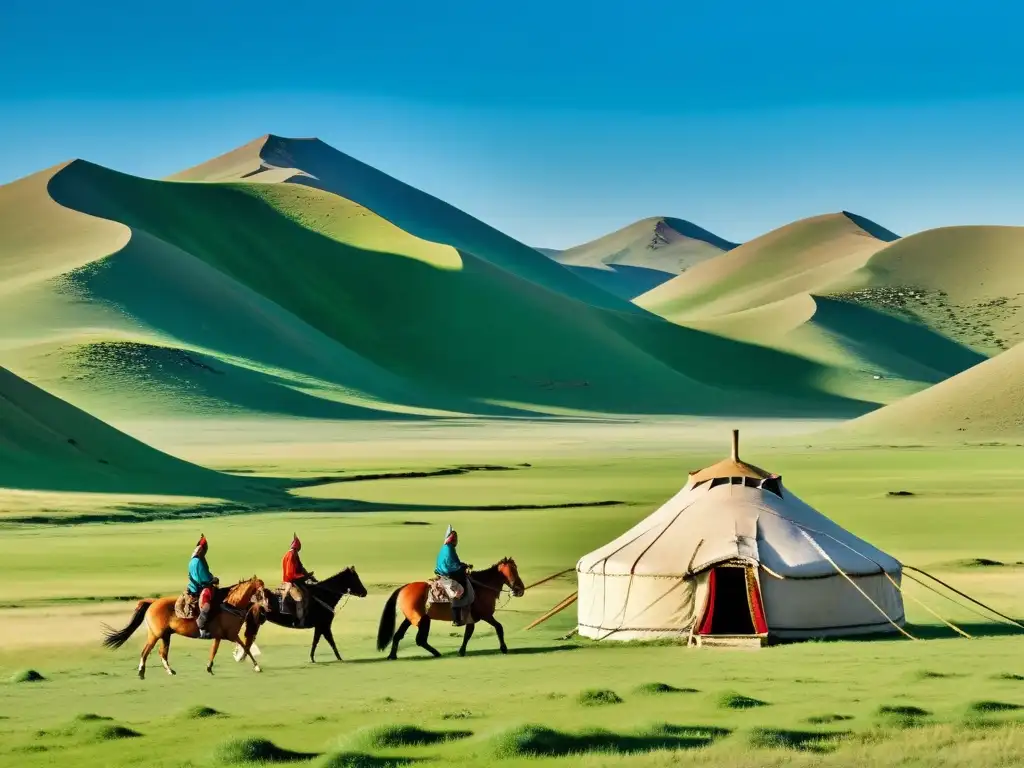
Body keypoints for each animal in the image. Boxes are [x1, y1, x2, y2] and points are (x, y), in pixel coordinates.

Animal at [99, 577, 266, 679]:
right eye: (260, 591)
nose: (266, 607)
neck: (231, 605)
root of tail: (153, 602)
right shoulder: (231, 635)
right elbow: (246, 648)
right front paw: (257, 667)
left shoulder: (219, 636)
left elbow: (214, 651)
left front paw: (209, 668)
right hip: (155, 634)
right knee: (145, 651)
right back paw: (141, 672)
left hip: (166, 635)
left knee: (162, 653)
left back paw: (170, 671)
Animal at [372, 561, 524, 663]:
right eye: (513, 570)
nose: (520, 589)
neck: (482, 588)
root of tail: (404, 587)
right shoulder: (484, 615)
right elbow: (497, 628)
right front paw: (503, 648)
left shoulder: (473, 618)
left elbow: (470, 633)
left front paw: (462, 651)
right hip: (423, 619)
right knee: (420, 639)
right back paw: (437, 653)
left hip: (409, 619)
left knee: (398, 635)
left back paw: (392, 656)